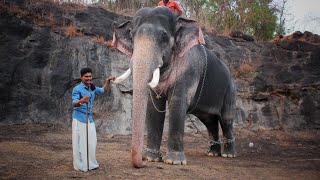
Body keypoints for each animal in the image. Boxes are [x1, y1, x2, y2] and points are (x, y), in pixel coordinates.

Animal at [111, 6, 236, 167]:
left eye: (164, 37)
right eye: (132, 37)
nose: (142, 162)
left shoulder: (189, 71)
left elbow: (177, 104)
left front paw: (174, 161)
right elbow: (154, 107)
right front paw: (152, 158)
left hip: (230, 92)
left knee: (226, 120)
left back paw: (228, 155)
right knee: (210, 121)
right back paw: (213, 153)